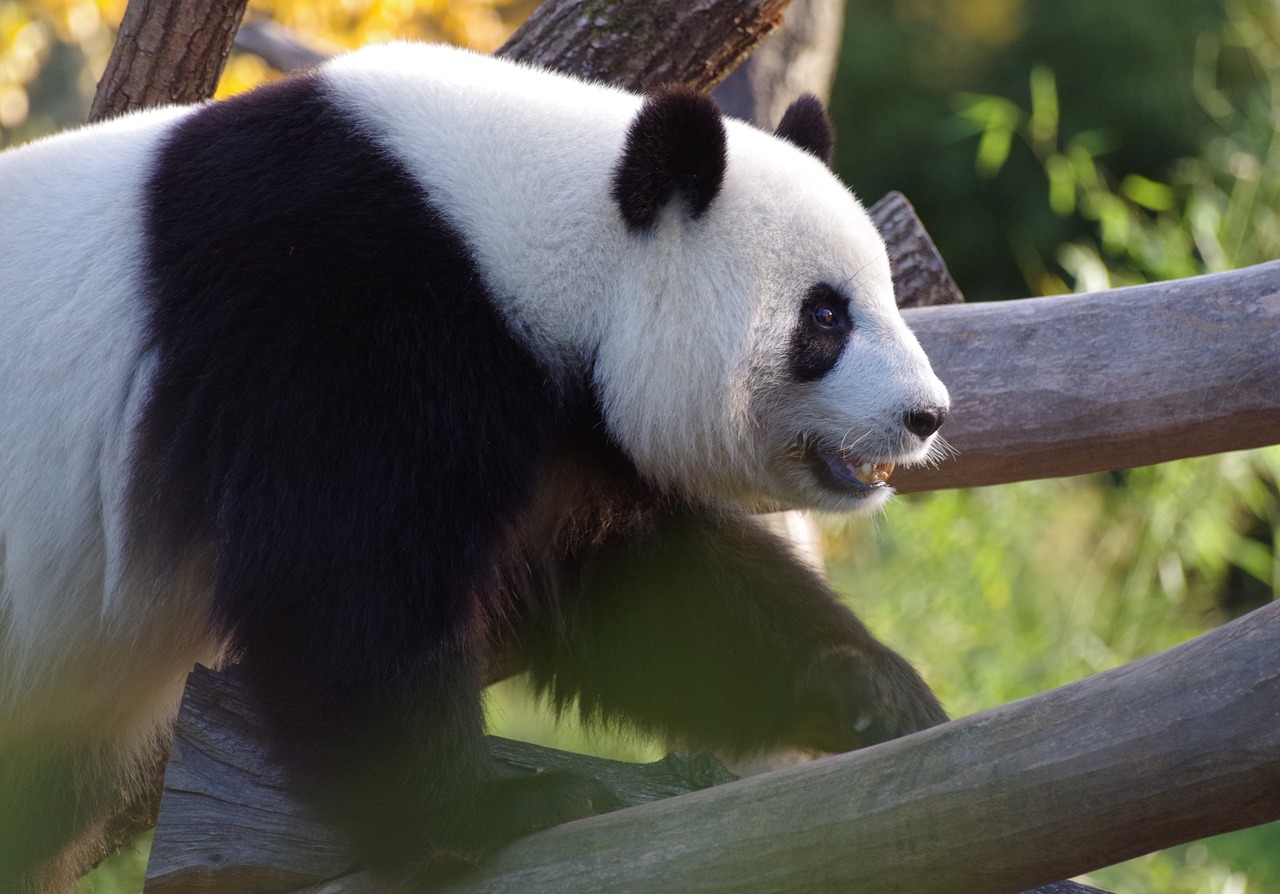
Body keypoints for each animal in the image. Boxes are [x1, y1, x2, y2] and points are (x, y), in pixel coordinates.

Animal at [0, 41, 952, 891]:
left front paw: (876, 693)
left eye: (882, 294)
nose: (927, 415)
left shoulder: (559, 432)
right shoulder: (339, 318)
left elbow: (643, 590)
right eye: (825, 316)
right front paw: (490, 810)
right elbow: (344, 584)